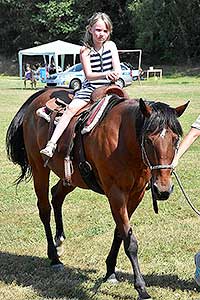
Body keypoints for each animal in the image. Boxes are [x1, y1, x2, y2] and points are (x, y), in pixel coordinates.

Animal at [5, 86, 188, 300]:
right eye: (149, 139)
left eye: (175, 139)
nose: (163, 189)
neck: (123, 140)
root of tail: (41, 94)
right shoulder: (116, 194)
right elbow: (130, 240)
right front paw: (141, 287)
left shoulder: (136, 195)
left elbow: (120, 233)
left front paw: (110, 271)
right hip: (39, 168)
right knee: (44, 209)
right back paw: (54, 256)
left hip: (72, 177)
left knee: (56, 195)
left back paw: (59, 240)